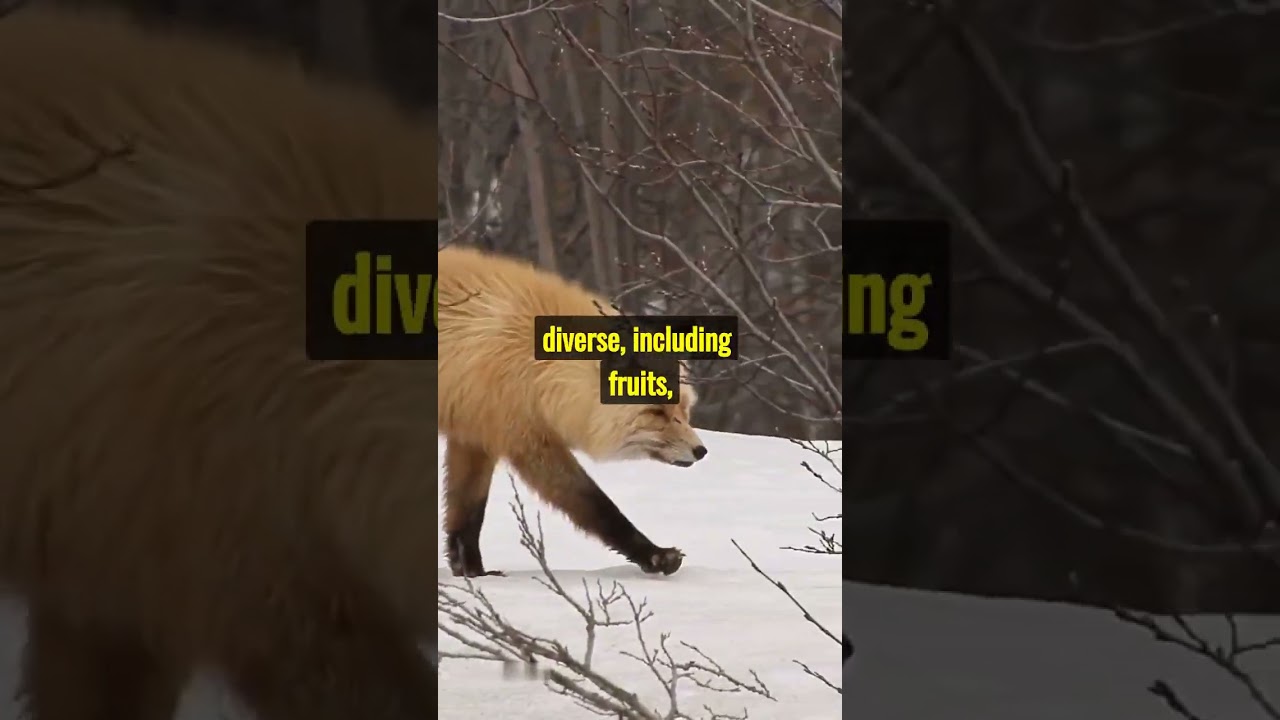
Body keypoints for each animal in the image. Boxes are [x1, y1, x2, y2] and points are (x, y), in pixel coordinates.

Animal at [437, 244, 708, 577]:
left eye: (684, 409)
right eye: (657, 412)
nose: (701, 450)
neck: (534, 364)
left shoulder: (475, 435)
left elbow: (467, 515)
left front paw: (473, 572)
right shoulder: (527, 441)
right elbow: (595, 504)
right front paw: (655, 555)